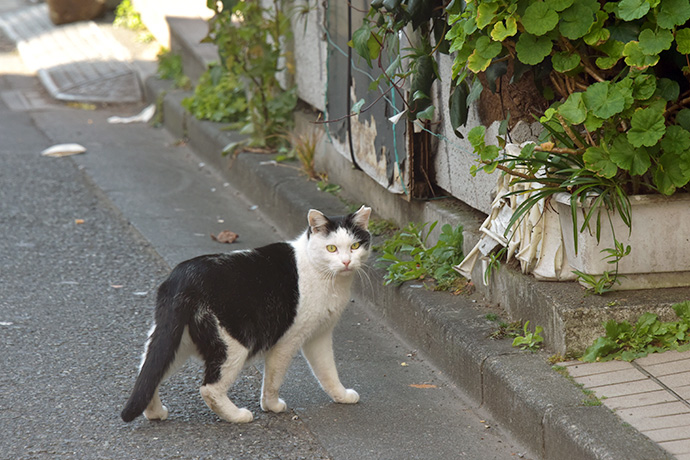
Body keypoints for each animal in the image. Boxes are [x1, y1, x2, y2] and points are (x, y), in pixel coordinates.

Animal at [121, 207, 374, 422]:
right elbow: (273, 378)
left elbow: (327, 370)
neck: (329, 279)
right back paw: (238, 416)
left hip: (175, 341)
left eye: (355, 246)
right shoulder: (289, 339)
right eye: (331, 248)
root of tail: (180, 278)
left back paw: (155, 413)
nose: (346, 262)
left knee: (148, 373)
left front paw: (341, 395)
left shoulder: (318, 335)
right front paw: (272, 406)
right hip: (233, 345)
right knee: (209, 389)